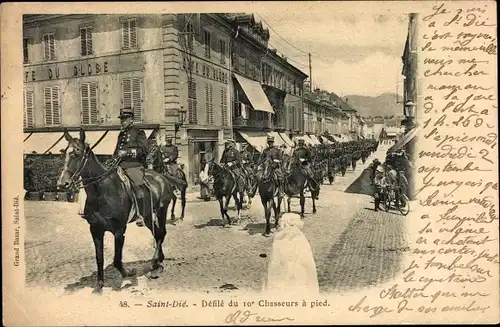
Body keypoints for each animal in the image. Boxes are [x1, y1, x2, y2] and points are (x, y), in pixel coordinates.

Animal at [57, 129, 186, 294]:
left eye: (77, 153)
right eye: (64, 153)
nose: (62, 184)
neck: (102, 191)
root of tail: (161, 176)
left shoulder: (119, 230)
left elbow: (117, 260)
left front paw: (128, 273)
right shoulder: (95, 230)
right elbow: (99, 258)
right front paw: (99, 285)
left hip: (161, 211)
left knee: (161, 233)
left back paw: (155, 264)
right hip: (148, 216)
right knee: (157, 233)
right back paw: (158, 262)